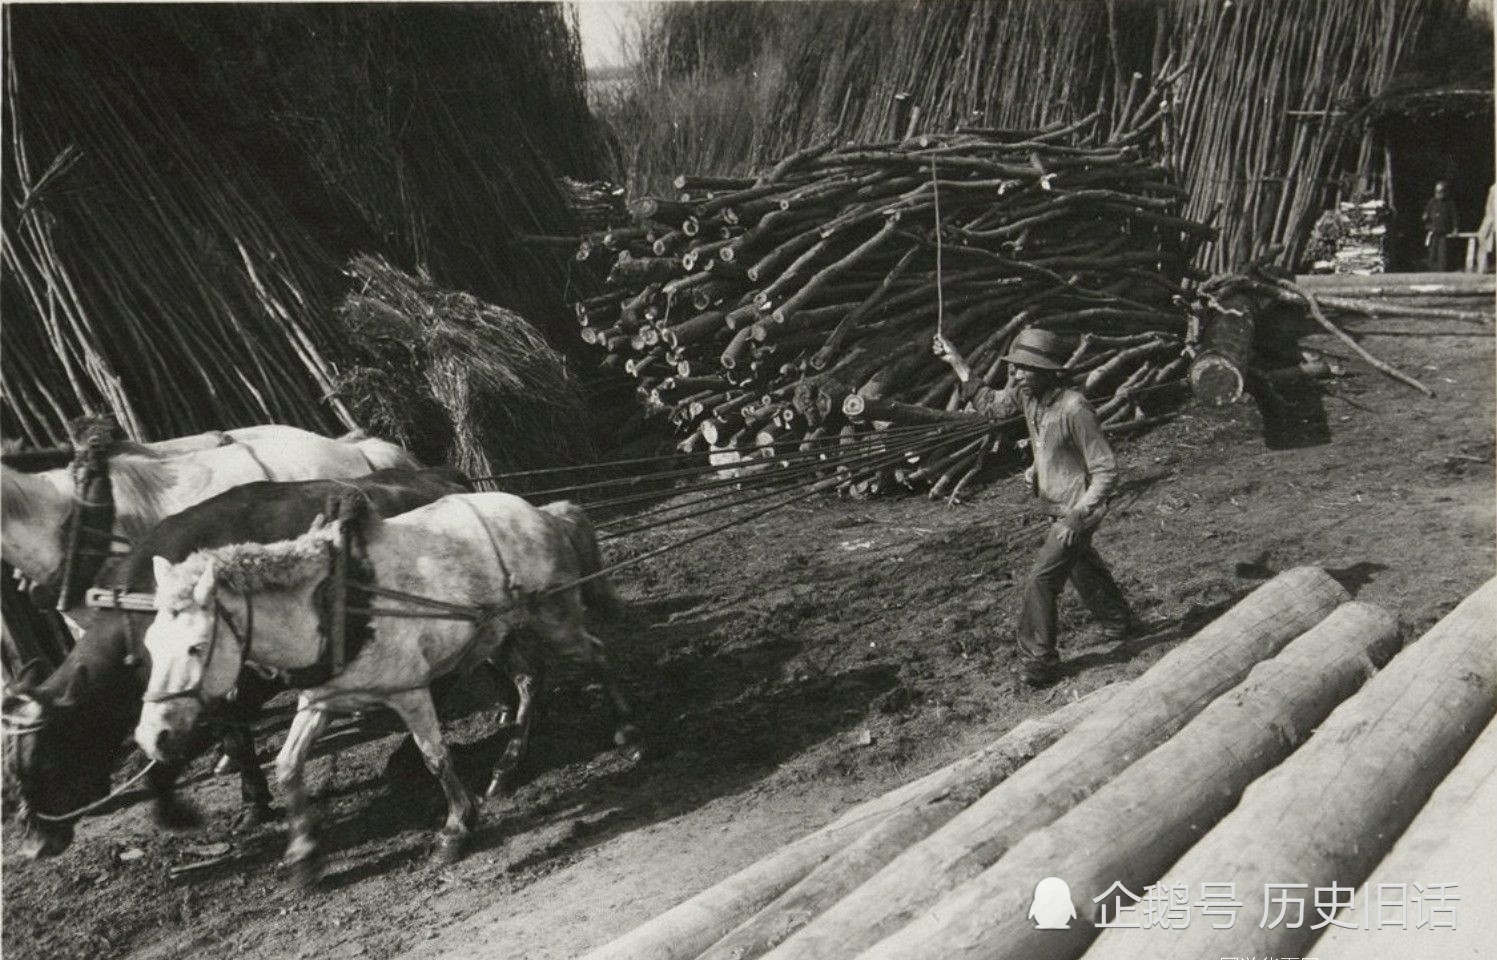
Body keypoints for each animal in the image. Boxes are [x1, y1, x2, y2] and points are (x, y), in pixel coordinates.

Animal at [131, 494, 634, 886]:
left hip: (555, 618)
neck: (335, 607)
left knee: (597, 655)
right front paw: (304, 855)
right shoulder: (319, 702)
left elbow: (436, 757)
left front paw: (456, 829)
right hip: (496, 636)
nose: (152, 736)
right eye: (150, 644)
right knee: (530, 680)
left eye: (196, 647)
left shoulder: (409, 692)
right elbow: (288, 767)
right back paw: (506, 769)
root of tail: (544, 513)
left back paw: (628, 737)